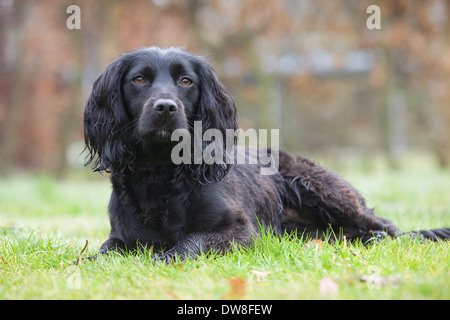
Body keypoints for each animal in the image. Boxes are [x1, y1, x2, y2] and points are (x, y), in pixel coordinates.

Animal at [84, 48, 450, 262]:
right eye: (139, 79)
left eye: (186, 81)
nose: (165, 107)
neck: (161, 170)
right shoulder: (121, 236)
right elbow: (105, 251)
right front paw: (87, 261)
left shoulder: (240, 230)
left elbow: (191, 242)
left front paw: (164, 257)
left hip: (319, 186)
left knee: (388, 227)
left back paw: (384, 235)